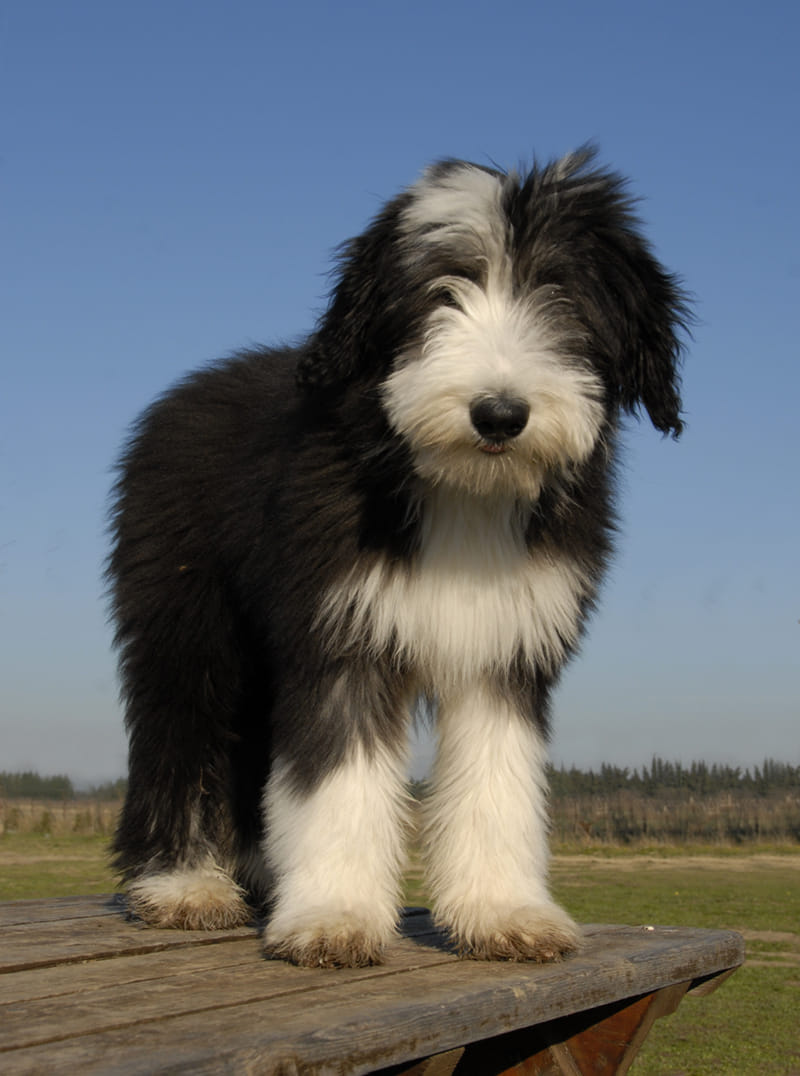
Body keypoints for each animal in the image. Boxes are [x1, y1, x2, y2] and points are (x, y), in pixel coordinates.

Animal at [109, 149, 693, 968]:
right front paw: (334, 915)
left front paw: (502, 911)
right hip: (188, 619)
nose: (499, 414)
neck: (464, 492)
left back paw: (260, 873)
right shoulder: (342, 633)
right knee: (181, 729)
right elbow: (339, 781)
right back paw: (182, 884)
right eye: (441, 290)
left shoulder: (504, 651)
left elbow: (496, 783)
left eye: (563, 299)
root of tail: (188, 392)